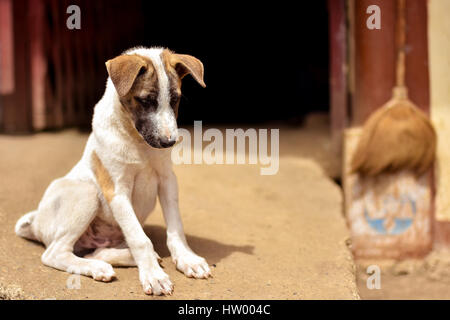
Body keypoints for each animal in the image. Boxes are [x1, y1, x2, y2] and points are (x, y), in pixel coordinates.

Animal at [14, 47, 211, 296]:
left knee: (96, 250)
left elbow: (176, 228)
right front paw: (154, 276)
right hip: (87, 193)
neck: (137, 141)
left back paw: (122, 259)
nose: (169, 142)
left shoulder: (167, 180)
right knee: (54, 253)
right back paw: (97, 267)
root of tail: (35, 222)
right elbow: (140, 239)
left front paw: (187, 259)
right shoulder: (116, 190)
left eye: (175, 100)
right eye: (145, 100)